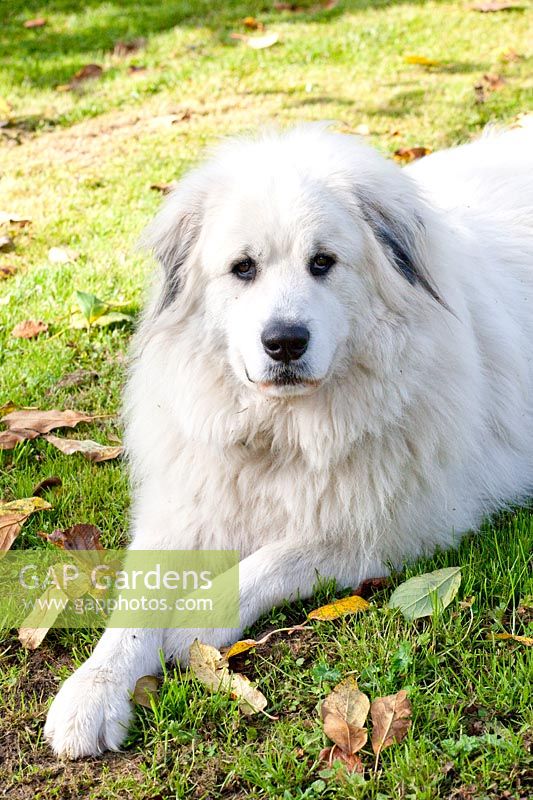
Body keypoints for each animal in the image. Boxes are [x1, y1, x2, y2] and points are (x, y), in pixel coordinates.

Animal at [44, 120, 532, 756]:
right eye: (243, 268)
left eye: (322, 262)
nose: (284, 342)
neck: (282, 430)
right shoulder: (185, 503)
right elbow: (141, 598)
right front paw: (93, 690)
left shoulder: (390, 527)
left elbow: (281, 557)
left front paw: (197, 617)